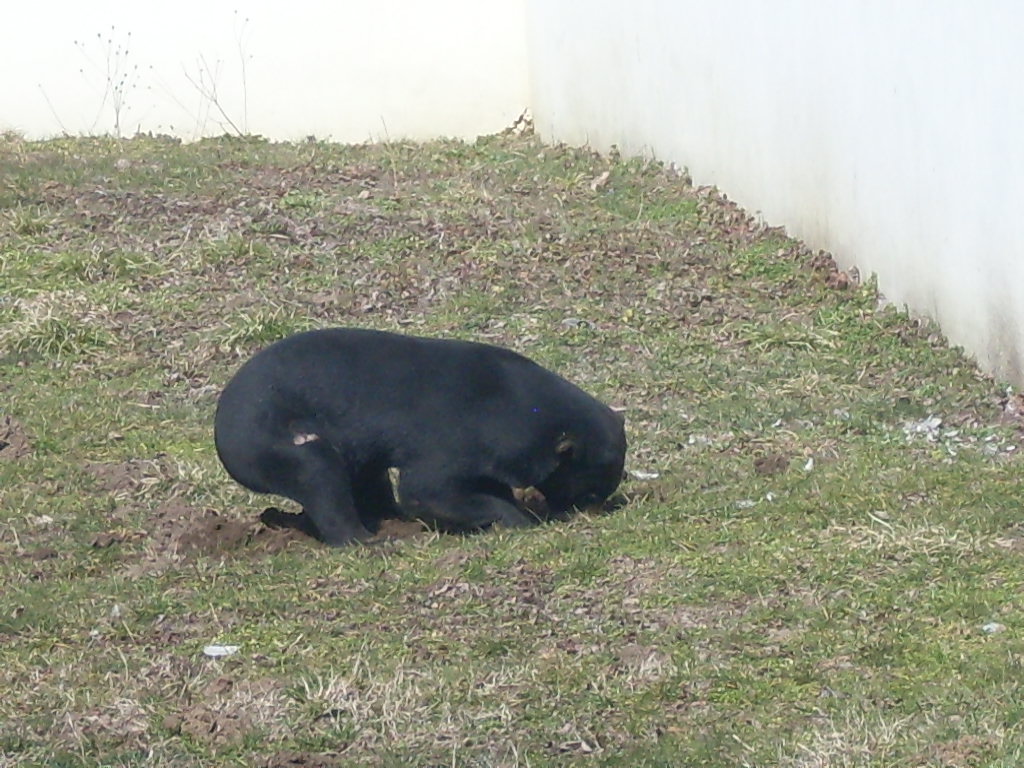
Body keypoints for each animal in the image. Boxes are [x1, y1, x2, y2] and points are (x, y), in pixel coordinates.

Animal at [214, 327, 627, 545]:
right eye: (590, 492)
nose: (593, 512)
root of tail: (220, 425)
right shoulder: (451, 437)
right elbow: (429, 490)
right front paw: (519, 520)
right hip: (277, 441)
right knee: (320, 478)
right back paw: (370, 539)